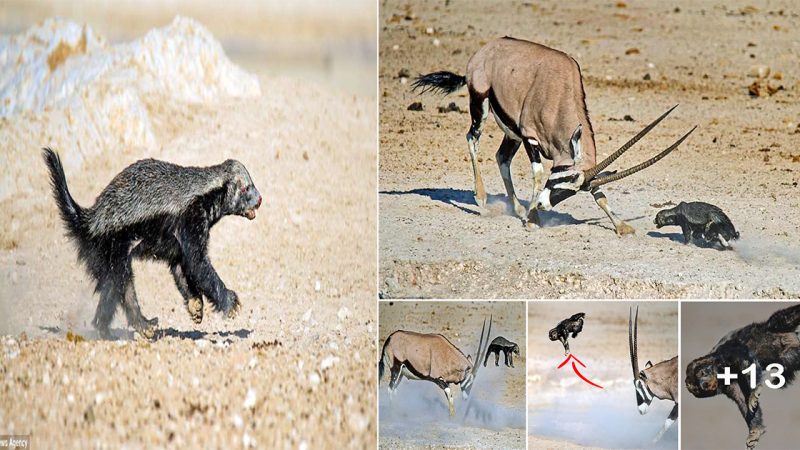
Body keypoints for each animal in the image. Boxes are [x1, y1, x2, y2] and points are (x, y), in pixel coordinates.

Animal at [412, 37, 692, 234]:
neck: (558, 95)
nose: (544, 205)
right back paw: (482, 199)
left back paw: (517, 207)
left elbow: (598, 192)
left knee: (502, 157)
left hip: (511, 133)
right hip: (481, 105)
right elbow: (537, 175)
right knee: (472, 138)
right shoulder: (530, 138)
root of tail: (484, 50)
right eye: (560, 181)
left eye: (573, 189)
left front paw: (621, 226)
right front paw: (532, 219)